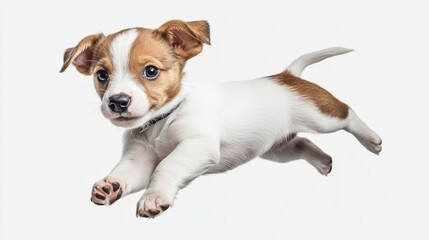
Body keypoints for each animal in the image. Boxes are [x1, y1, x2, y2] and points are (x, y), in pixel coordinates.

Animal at [59, 19, 382, 218]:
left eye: (150, 71)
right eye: (102, 75)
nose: (117, 102)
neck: (159, 124)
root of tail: (288, 76)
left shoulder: (197, 145)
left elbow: (166, 166)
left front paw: (153, 197)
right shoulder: (138, 160)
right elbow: (127, 173)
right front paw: (109, 186)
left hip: (321, 118)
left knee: (347, 113)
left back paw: (372, 139)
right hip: (277, 150)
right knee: (302, 144)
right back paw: (323, 161)